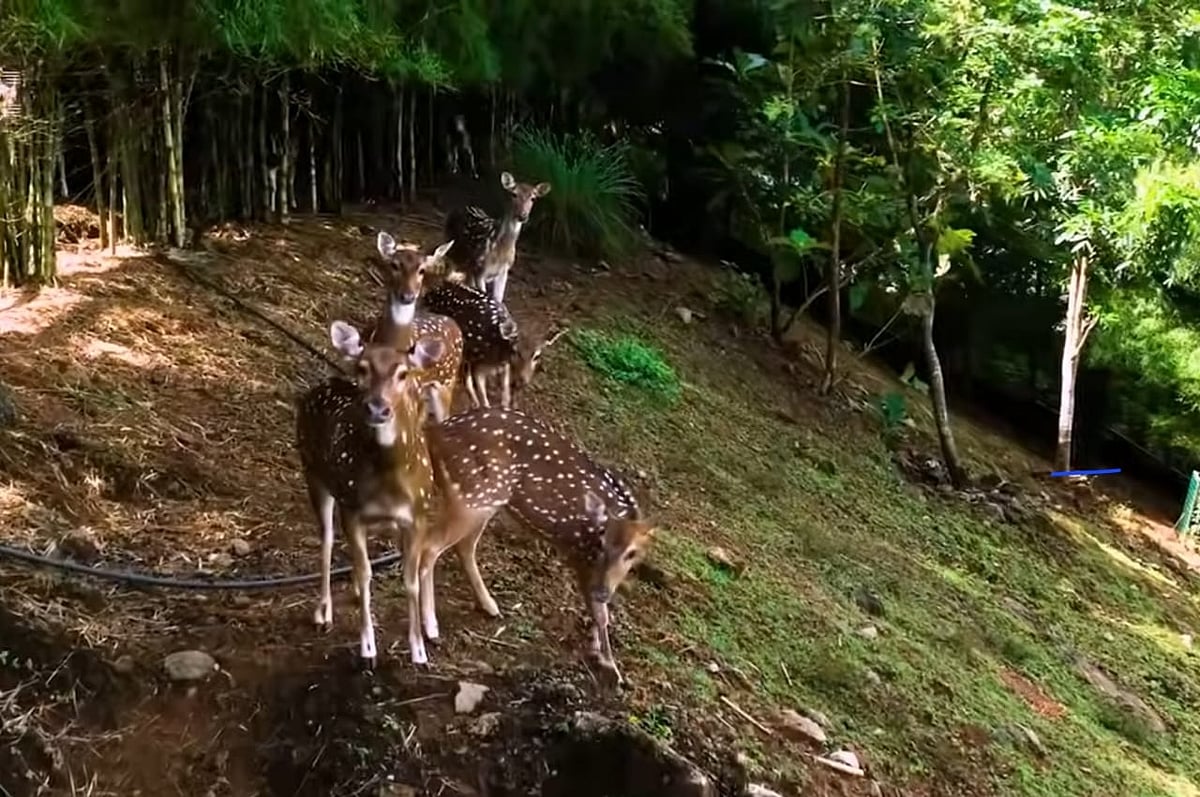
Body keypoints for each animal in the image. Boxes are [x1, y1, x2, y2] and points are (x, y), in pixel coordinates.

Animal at [295, 320, 445, 666]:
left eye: (403, 373)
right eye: (363, 368)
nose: (377, 407)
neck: (391, 484)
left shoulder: (417, 516)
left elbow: (411, 579)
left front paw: (419, 650)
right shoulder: (353, 511)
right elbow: (366, 574)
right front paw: (367, 648)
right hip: (313, 473)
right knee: (326, 541)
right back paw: (322, 612)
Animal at [406, 398, 656, 686]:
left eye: (632, 553)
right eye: (602, 542)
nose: (603, 591)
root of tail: (435, 434)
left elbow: (599, 610)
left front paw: (597, 650)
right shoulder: (579, 554)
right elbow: (601, 614)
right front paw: (611, 667)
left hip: (486, 501)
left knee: (462, 546)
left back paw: (489, 606)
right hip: (471, 497)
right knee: (429, 547)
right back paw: (431, 628)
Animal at [420, 280, 568, 409]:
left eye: (537, 355)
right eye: (516, 351)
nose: (523, 380)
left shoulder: (504, 366)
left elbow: (505, 393)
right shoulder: (479, 364)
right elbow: (483, 396)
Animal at [442, 172, 551, 305]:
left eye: (533, 198)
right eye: (514, 194)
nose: (523, 216)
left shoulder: (503, 272)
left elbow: (497, 298)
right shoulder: (480, 269)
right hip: (451, 246)